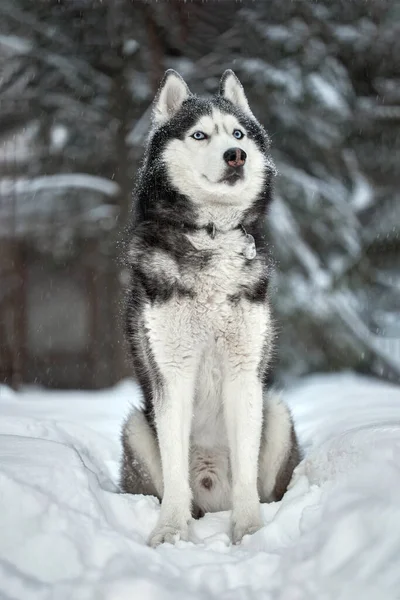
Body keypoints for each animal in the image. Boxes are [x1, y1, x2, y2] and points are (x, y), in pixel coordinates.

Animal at [120, 68, 298, 548]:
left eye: (238, 134)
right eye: (200, 134)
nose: (236, 156)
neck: (211, 234)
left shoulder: (244, 372)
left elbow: (246, 473)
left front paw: (249, 530)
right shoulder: (172, 371)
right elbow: (174, 469)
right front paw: (169, 531)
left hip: (276, 411)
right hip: (136, 426)